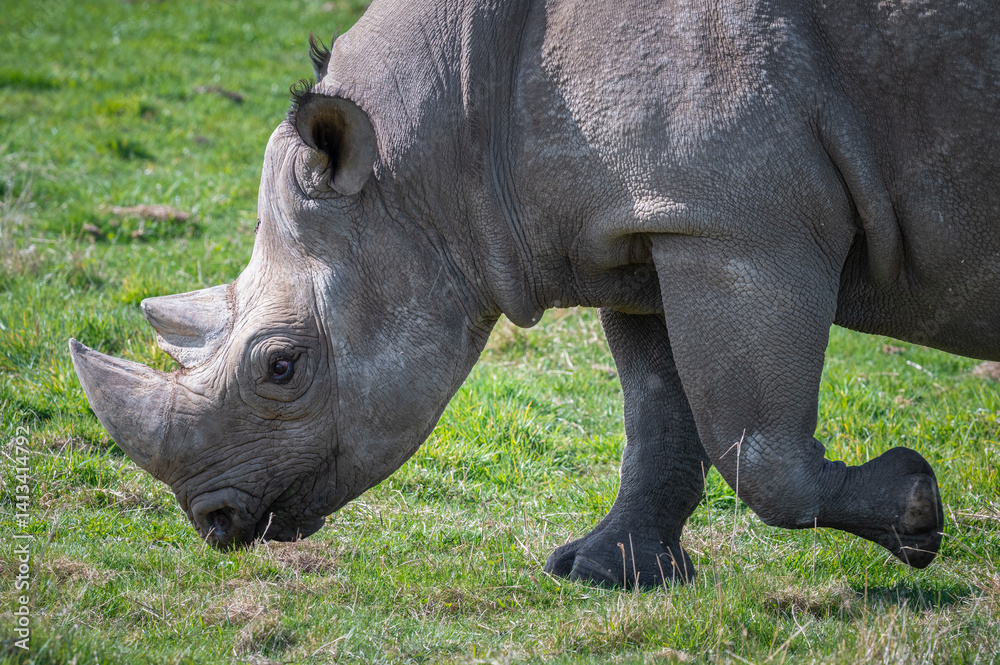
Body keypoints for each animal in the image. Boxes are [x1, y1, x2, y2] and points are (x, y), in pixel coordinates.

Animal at [69, 0, 1000, 588]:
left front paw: (917, 514)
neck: (439, 144)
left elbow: (758, 449)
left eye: (283, 366)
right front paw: (603, 573)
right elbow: (658, 416)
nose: (214, 521)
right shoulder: (654, 220)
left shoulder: (741, 222)